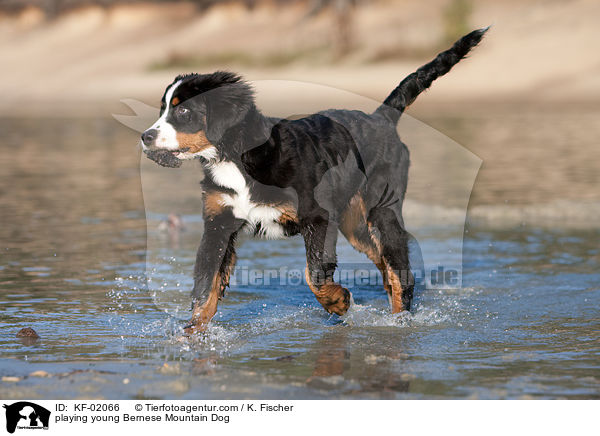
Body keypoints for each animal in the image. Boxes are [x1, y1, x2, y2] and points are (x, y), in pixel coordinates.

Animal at [143, 28, 490, 334]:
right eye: (163, 109)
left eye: (183, 111)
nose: (145, 137)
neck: (237, 158)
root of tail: (381, 117)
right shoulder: (219, 222)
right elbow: (206, 283)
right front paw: (193, 333)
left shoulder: (317, 217)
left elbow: (315, 274)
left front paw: (338, 302)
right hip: (353, 223)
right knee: (382, 261)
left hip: (382, 210)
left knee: (398, 269)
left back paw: (399, 319)